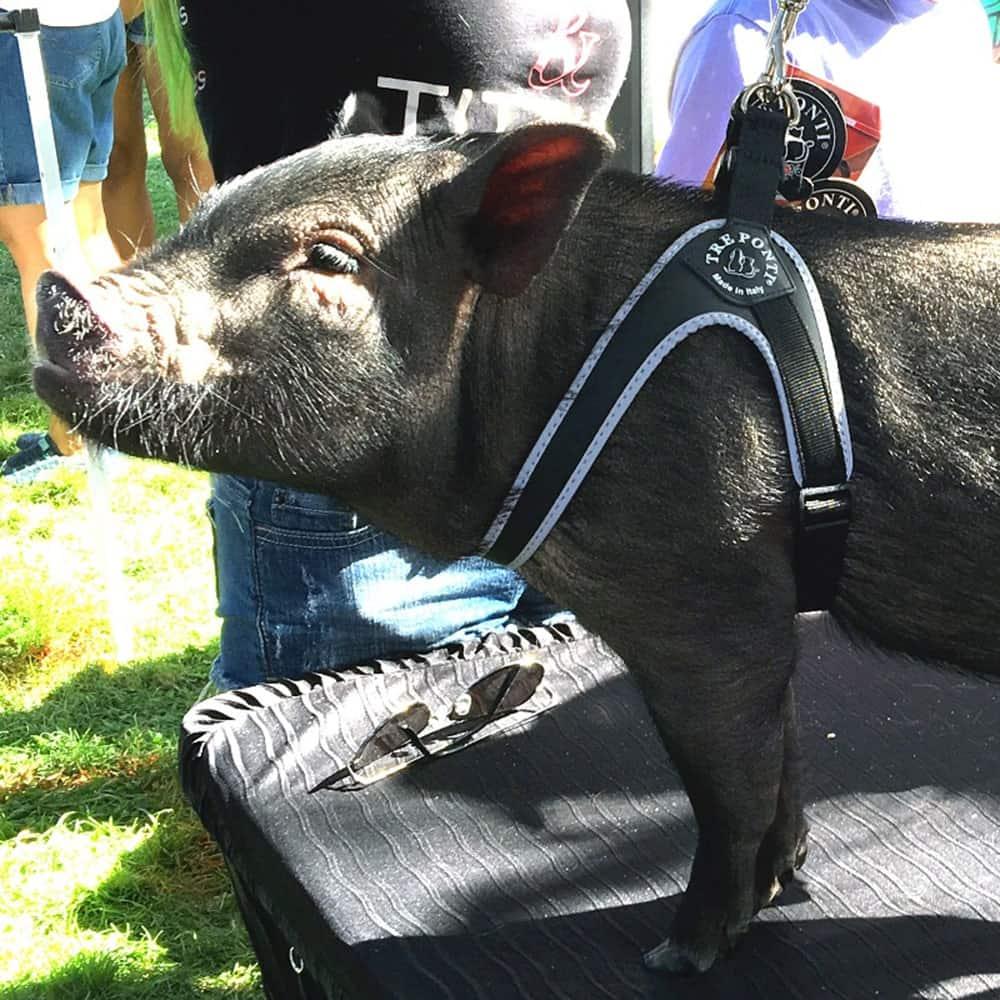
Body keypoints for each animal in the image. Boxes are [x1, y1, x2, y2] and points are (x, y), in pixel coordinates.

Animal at [31, 123, 1000, 974]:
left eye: (331, 259)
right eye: (195, 221)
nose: (58, 292)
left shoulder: (710, 598)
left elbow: (728, 791)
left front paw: (675, 955)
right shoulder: (758, 606)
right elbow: (783, 758)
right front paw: (784, 878)